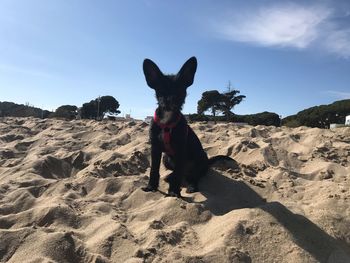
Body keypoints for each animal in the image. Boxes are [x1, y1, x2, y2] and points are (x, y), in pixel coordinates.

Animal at [141, 57, 234, 198]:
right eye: (161, 90)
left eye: (180, 90)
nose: (171, 101)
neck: (167, 122)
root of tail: (207, 163)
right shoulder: (155, 148)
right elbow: (154, 170)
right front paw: (151, 187)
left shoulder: (181, 150)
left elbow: (178, 172)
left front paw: (174, 191)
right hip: (166, 158)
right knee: (180, 173)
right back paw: (170, 177)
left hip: (199, 159)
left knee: (194, 176)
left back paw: (191, 185)